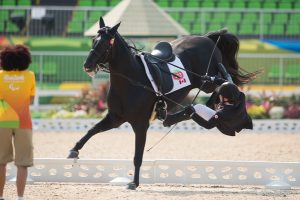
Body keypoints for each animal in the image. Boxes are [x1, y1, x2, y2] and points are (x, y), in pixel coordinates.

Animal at [68, 16, 258, 189]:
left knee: (224, 83)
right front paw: (74, 150)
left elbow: (138, 155)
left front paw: (134, 183)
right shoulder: (115, 118)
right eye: (94, 40)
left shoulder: (140, 124)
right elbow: (93, 130)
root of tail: (206, 38)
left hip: (206, 81)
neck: (131, 80)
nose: (87, 65)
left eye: (107, 43)